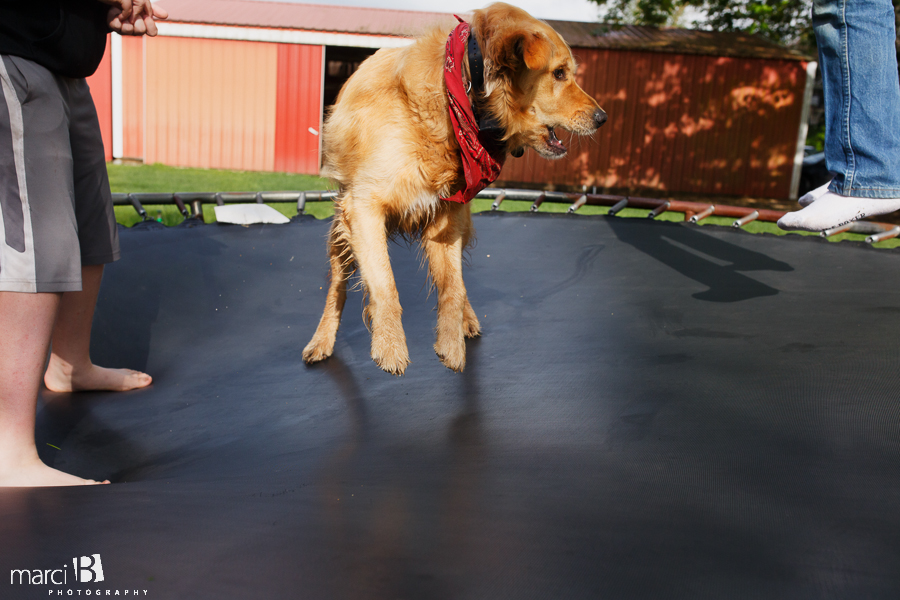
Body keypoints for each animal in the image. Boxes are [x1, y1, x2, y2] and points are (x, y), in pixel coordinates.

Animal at [302, 2, 604, 376]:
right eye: (559, 73)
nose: (603, 118)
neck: (453, 98)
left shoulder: (448, 215)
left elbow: (453, 287)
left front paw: (451, 343)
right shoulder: (363, 208)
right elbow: (385, 282)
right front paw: (390, 345)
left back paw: (466, 320)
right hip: (341, 234)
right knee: (337, 287)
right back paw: (322, 339)